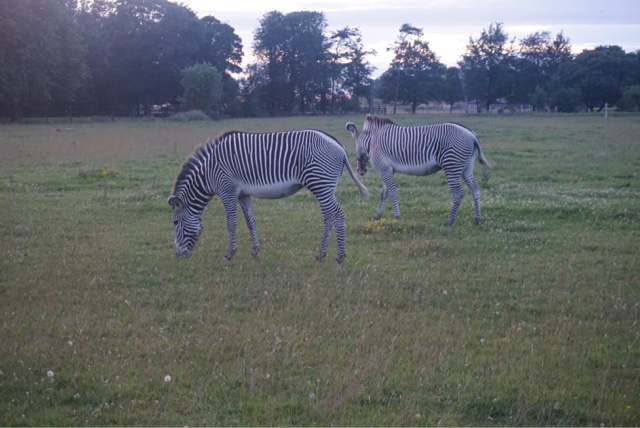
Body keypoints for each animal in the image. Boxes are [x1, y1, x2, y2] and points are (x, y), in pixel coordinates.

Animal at [168, 129, 369, 264]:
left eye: (175, 222)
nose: (177, 254)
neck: (209, 173)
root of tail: (339, 147)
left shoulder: (227, 191)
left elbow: (231, 223)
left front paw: (230, 253)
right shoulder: (243, 195)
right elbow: (250, 222)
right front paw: (255, 251)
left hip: (320, 184)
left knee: (335, 215)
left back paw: (335, 255)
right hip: (326, 186)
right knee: (331, 216)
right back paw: (327, 254)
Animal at [346, 115, 492, 225]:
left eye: (355, 146)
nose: (360, 171)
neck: (372, 141)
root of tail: (471, 134)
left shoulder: (384, 169)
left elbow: (392, 193)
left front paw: (397, 217)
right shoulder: (387, 169)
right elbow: (384, 194)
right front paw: (377, 215)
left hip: (452, 166)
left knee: (458, 194)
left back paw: (449, 221)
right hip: (466, 168)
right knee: (475, 190)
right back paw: (476, 219)